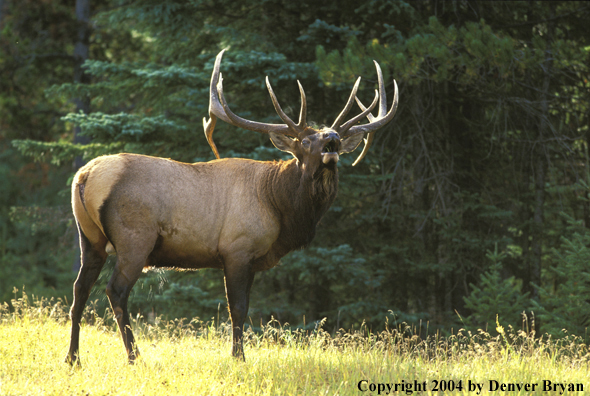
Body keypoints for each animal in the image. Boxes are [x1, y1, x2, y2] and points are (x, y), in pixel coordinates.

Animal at [65, 49, 400, 366]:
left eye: (336, 135)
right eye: (305, 141)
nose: (332, 138)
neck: (279, 205)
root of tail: (84, 176)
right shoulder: (237, 248)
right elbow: (237, 308)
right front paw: (239, 357)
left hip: (89, 237)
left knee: (79, 289)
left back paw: (73, 358)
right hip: (135, 238)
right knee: (115, 290)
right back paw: (134, 357)